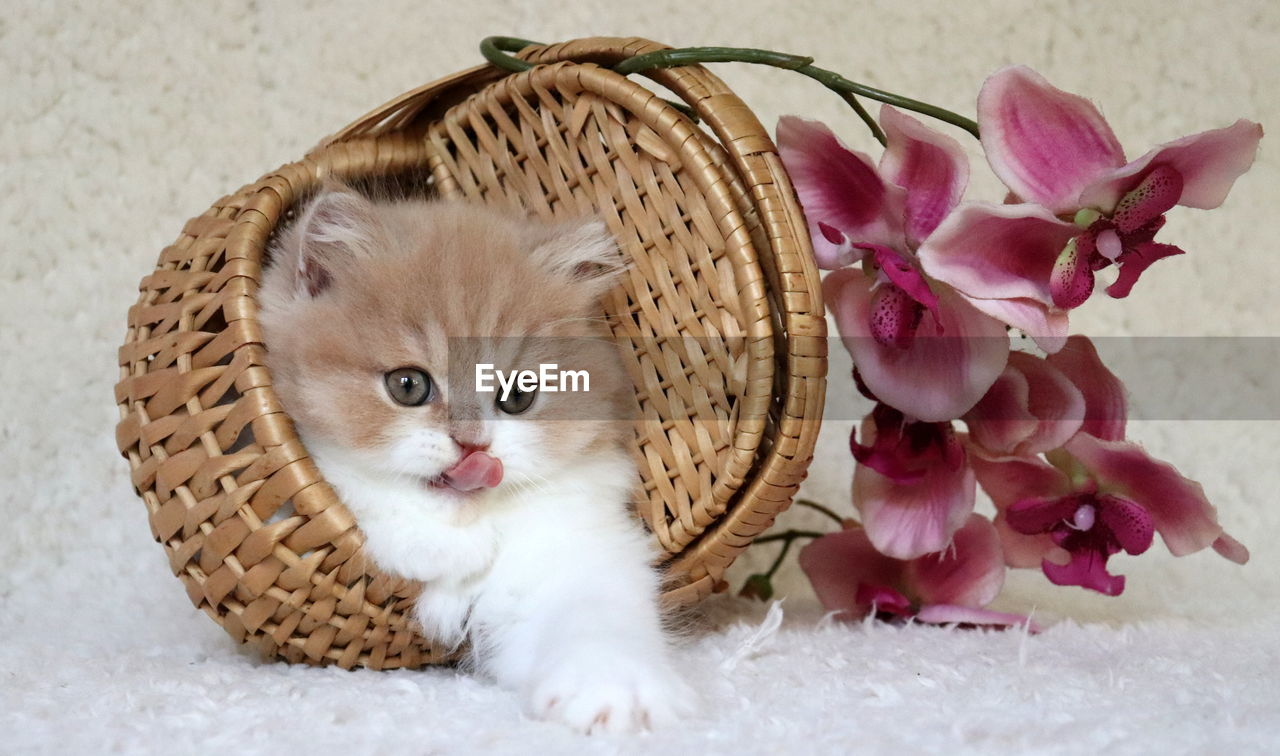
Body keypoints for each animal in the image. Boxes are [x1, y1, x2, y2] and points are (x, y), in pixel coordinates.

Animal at [259, 186, 696, 736]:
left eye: (517, 397)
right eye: (408, 385)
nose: (474, 448)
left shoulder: (575, 550)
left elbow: (598, 620)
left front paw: (613, 696)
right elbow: (354, 482)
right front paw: (432, 544)